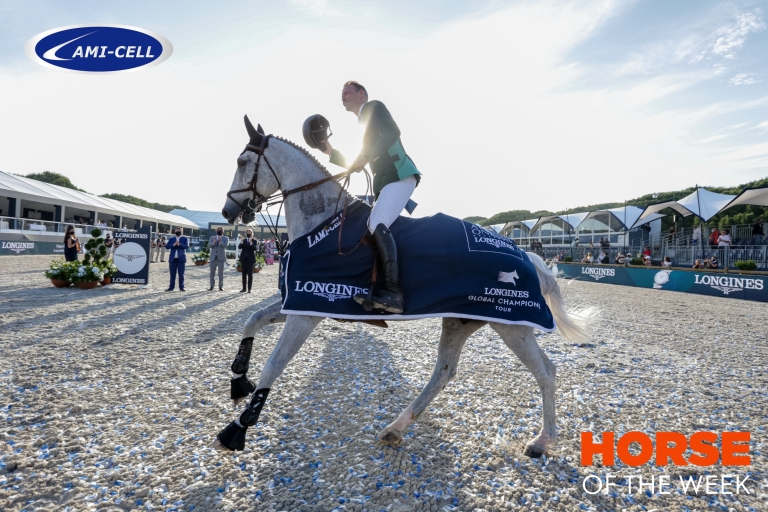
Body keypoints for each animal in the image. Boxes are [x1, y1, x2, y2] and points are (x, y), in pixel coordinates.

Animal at [213, 116, 593, 458]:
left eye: (242, 162)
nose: (228, 212)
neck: (322, 223)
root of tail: (525, 254)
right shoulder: (300, 301)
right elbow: (251, 321)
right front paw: (238, 379)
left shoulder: (308, 310)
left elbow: (274, 365)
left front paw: (237, 428)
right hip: (461, 320)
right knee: (444, 371)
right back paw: (396, 427)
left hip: (511, 324)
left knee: (546, 372)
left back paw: (542, 441)